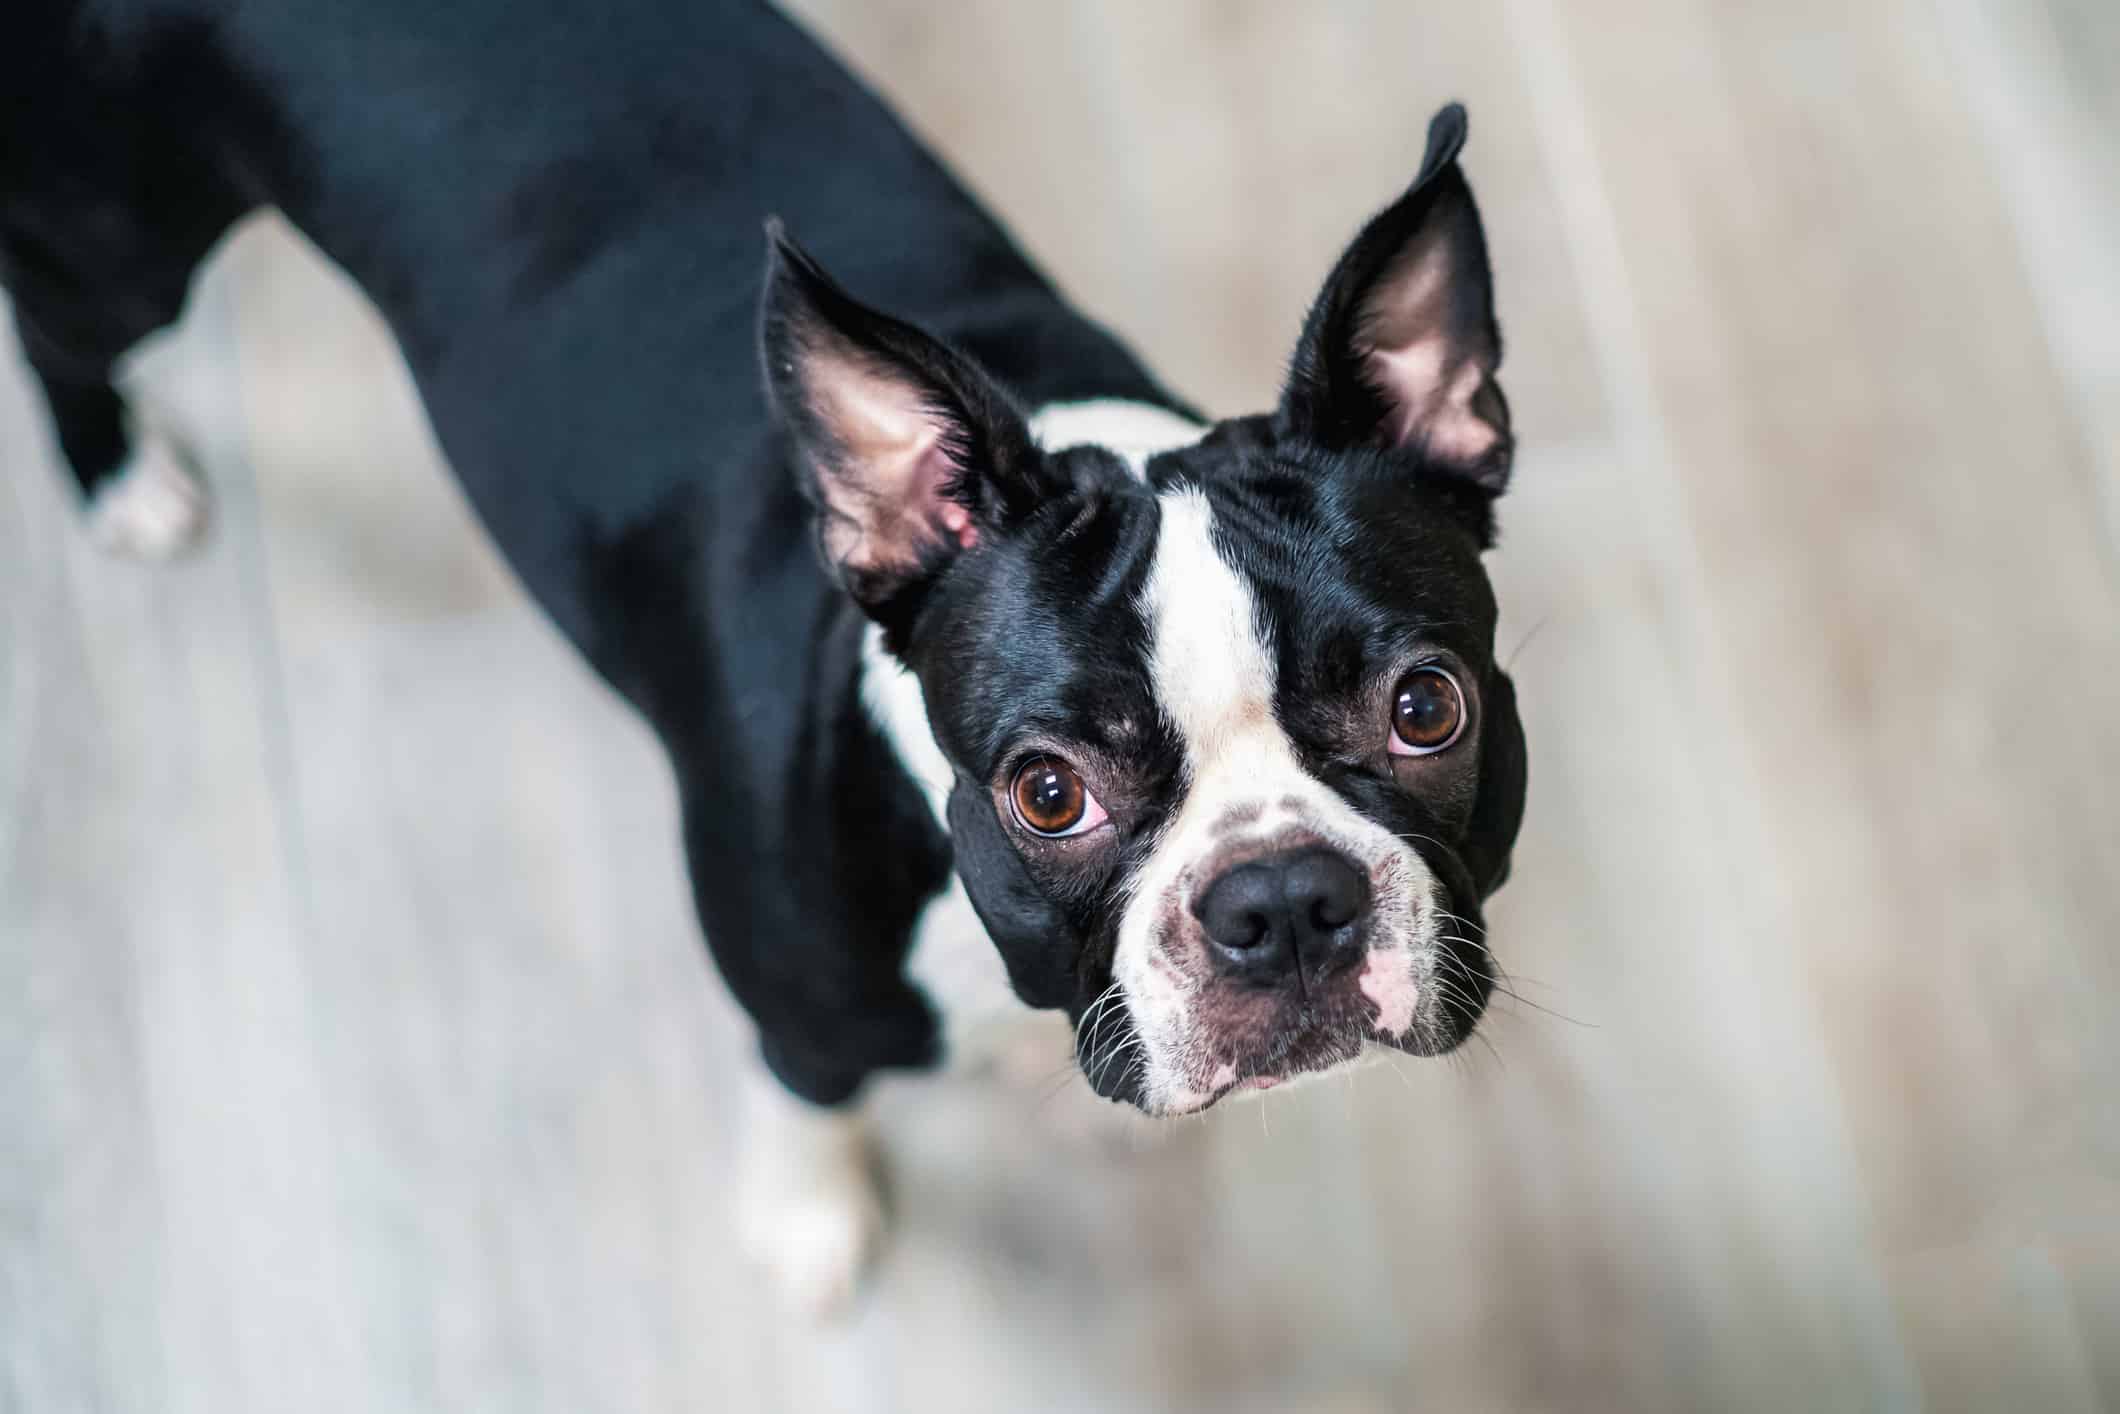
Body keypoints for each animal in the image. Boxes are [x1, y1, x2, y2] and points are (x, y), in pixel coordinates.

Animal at [0, 0, 1526, 1314]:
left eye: (1426, 707)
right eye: (1047, 792)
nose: (1280, 898)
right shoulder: (795, 1004)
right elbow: (809, 1098)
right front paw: (809, 1216)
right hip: (118, 234)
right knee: (57, 319)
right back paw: (117, 473)